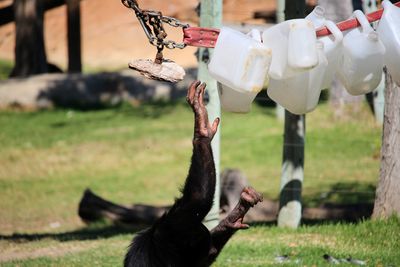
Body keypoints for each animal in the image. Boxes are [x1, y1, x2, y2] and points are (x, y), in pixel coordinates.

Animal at [124, 81, 262, 267]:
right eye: (202, 247)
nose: (209, 249)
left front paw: (234, 216)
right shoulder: (176, 226)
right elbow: (198, 199)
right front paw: (202, 130)